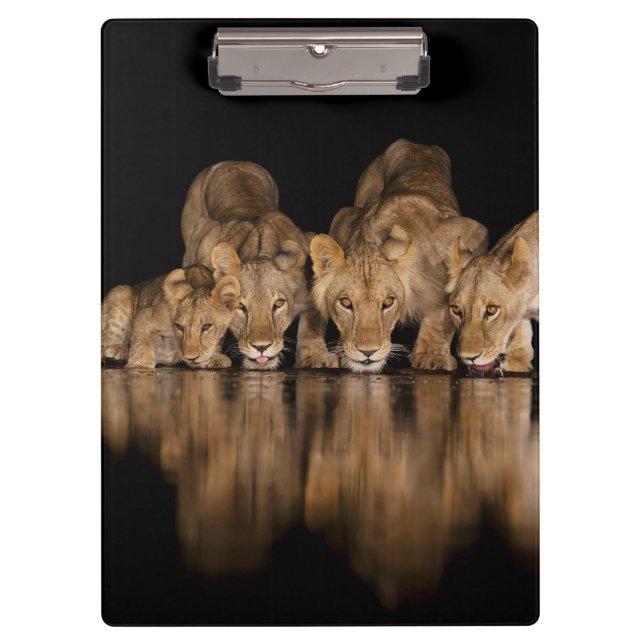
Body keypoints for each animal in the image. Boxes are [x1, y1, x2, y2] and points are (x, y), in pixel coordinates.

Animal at [101, 264, 240, 369]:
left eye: (206, 327)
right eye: (179, 327)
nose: (191, 357)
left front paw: (217, 358)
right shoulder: (146, 315)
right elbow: (141, 344)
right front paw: (139, 365)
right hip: (122, 291)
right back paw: (119, 351)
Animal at [181, 161, 336, 370]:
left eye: (278, 304)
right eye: (240, 306)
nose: (261, 347)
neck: (260, 249)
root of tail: (233, 161)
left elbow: (313, 323)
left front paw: (315, 356)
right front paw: (210, 357)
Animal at [310, 139, 489, 373]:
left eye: (388, 302)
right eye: (346, 303)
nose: (368, 352)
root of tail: (418, 144)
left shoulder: (473, 233)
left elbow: (442, 312)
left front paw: (431, 355)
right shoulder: (344, 217)